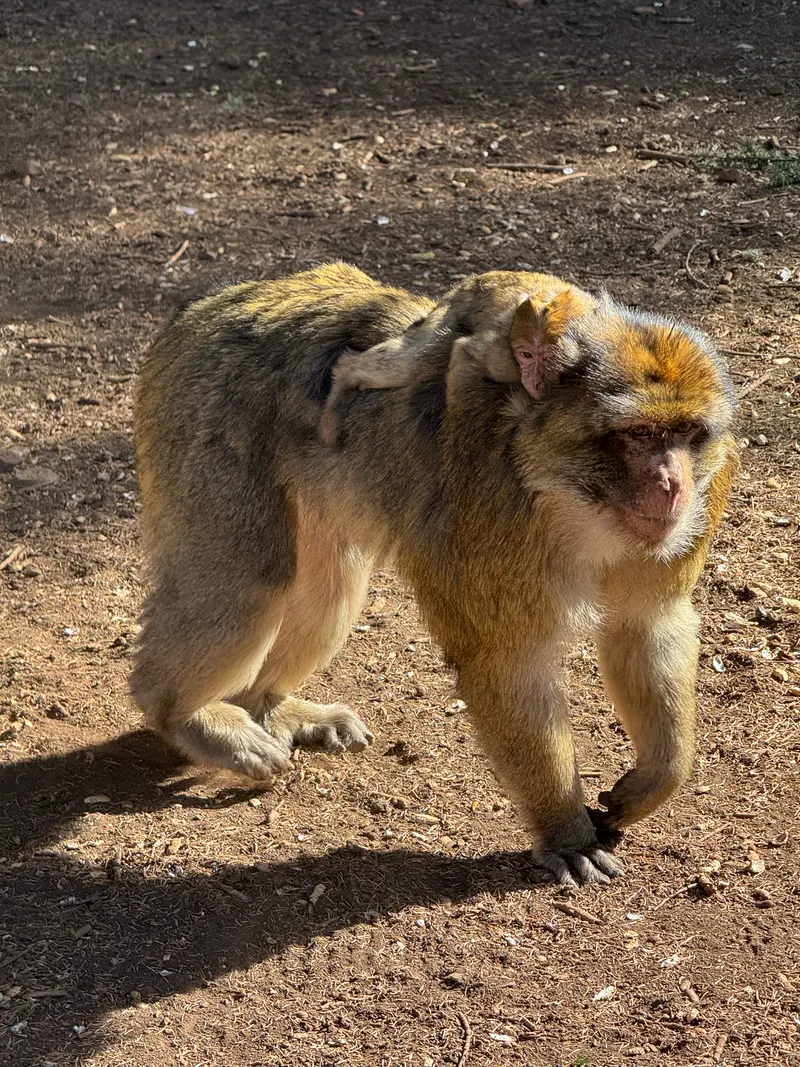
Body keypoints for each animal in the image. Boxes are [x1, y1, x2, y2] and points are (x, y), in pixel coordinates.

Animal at [132, 262, 738, 886]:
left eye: (686, 434)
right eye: (639, 434)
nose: (672, 485)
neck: (571, 501)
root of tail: (214, 304)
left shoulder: (688, 519)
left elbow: (648, 626)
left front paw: (656, 780)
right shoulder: (494, 511)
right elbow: (505, 662)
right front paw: (565, 829)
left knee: (331, 582)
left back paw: (265, 702)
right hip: (207, 417)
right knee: (254, 581)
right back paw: (183, 714)